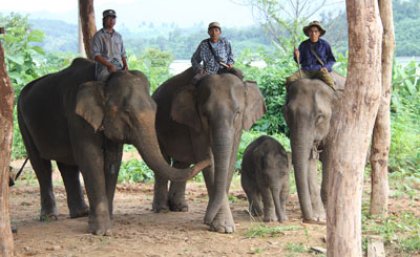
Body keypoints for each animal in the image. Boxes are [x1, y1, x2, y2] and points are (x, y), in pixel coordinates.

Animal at [17, 58, 207, 234]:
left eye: (155, 109)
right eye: (127, 112)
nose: (207, 160)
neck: (104, 81)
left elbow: (113, 160)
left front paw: (107, 220)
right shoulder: (77, 117)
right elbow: (91, 158)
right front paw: (101, 231)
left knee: (67, 165)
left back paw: (81, 213)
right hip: (22, 121)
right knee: (41, 165)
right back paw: (50, 217)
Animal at [151, 67, 264, 232]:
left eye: (237, 113)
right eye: (205, 114)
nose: (206, 220)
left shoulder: (238, 128)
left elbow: (231, 158)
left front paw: (215, 223)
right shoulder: (195, 124)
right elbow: (205, 155)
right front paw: (222, 227)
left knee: (181, 164)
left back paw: (180, 208)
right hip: (155, 126)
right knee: (162, 159)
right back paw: (161, 209)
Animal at [284, 71, 346, 222]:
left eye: (319, 117)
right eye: (287, 113)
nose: (308, 219)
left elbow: (331, 158)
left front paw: (327, 214)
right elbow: (310, 160)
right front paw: (319, 217)